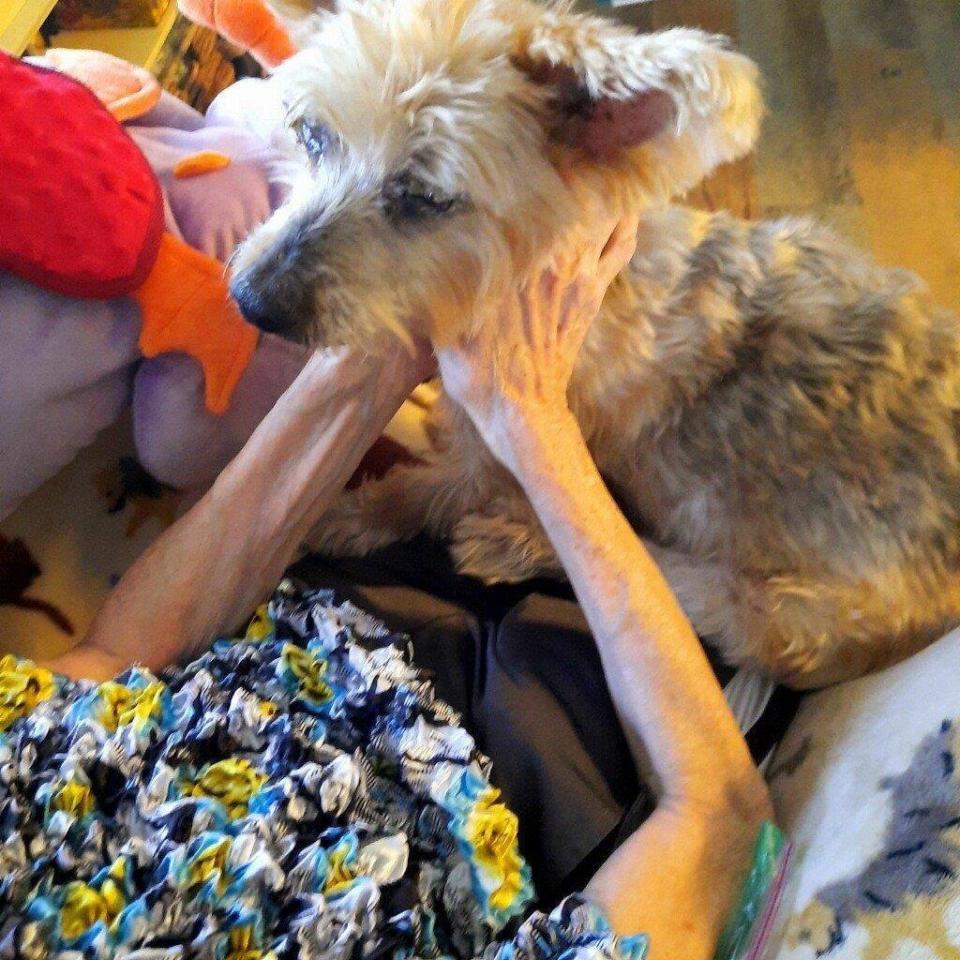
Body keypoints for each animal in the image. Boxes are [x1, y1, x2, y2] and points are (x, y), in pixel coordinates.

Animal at [229, 0, 960, 688]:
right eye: (312, 135)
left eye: (427, 197)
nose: (250, 300)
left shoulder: (489, 450)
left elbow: (420, 491)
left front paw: (346, 515)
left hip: (783, 612)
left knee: (670, 578)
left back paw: (515, 542)